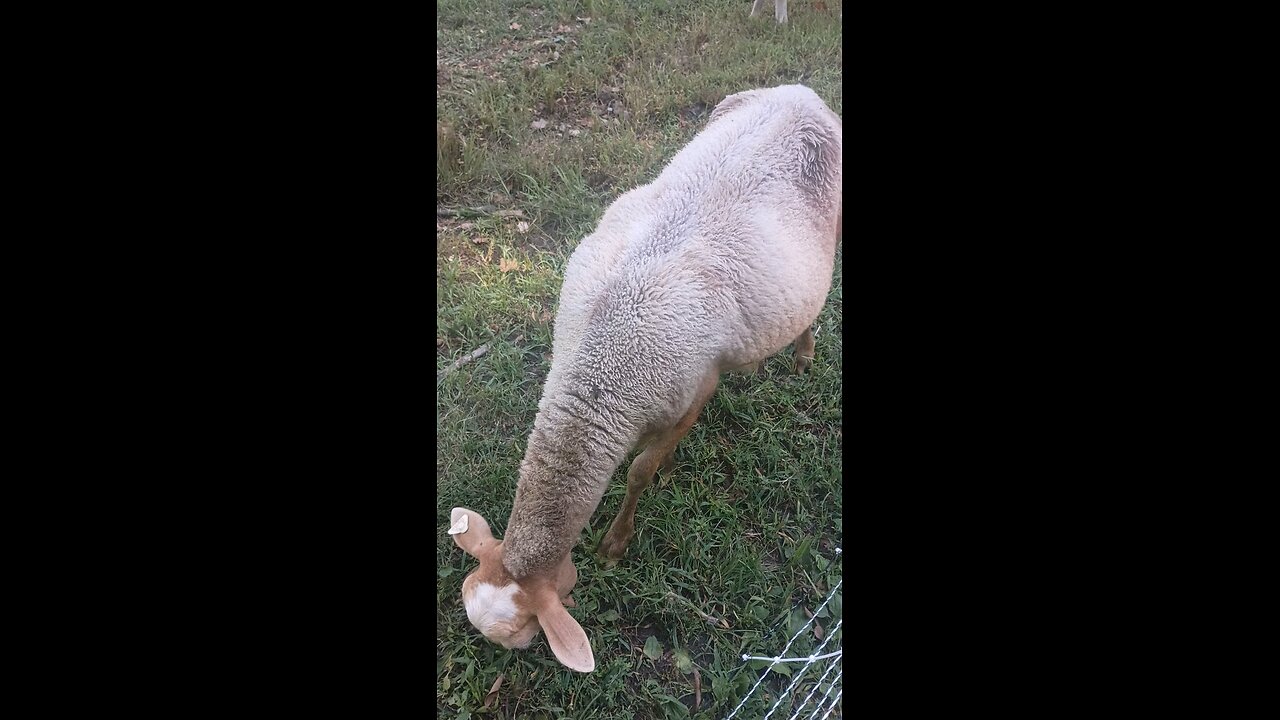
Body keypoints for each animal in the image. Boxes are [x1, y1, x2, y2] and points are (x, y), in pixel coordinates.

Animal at [448, 85, 839, 671]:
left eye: (523, 637)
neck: (603, 366)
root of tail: (802, 91)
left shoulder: (695, 387)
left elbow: (639, 471)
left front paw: (616, 543)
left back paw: (804, 355)